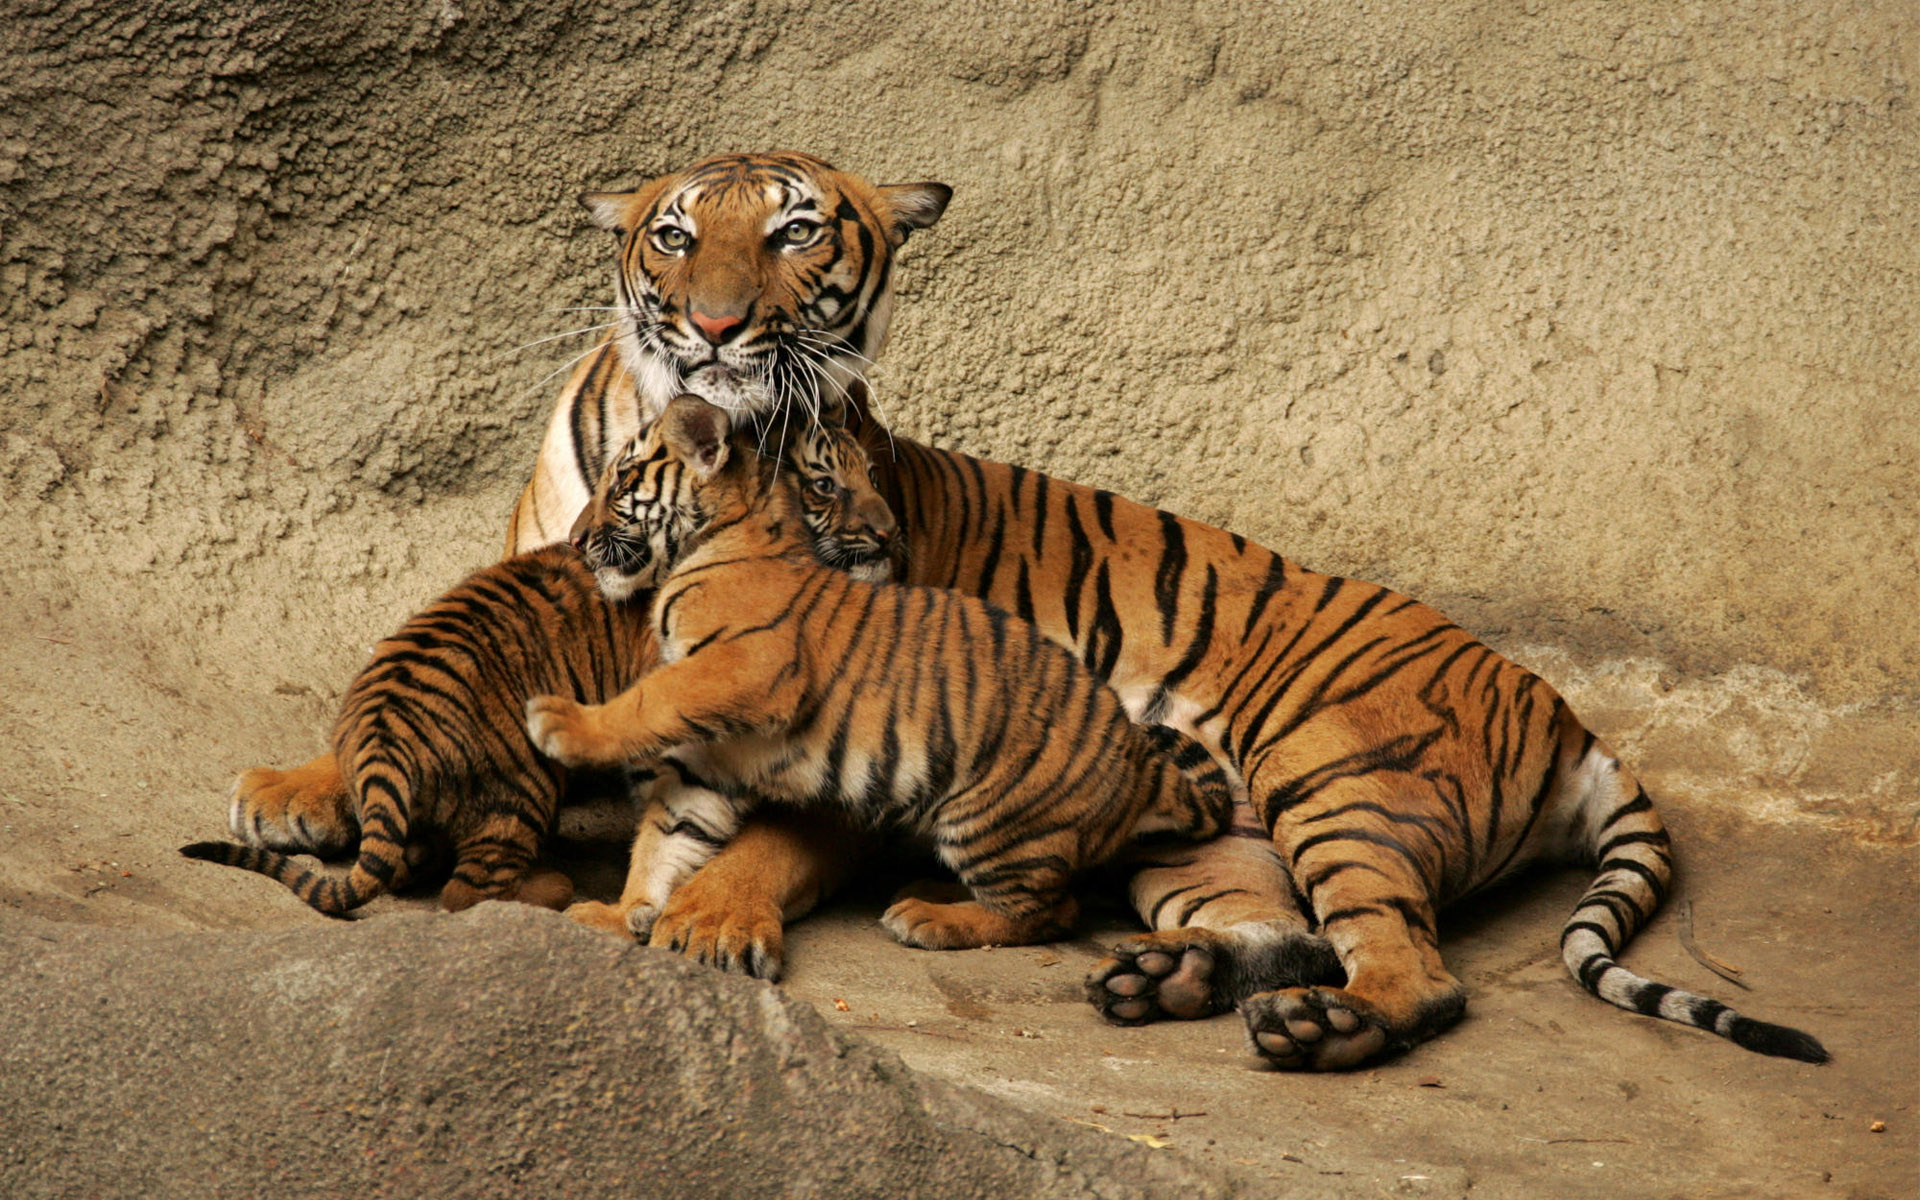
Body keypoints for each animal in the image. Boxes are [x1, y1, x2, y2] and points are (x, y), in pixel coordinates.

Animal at [232, 151, 1820, 1067]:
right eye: (676, 239)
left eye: (800, 235)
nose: (721, 328)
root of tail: (1572, 719)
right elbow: (407, 700)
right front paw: (294, 786)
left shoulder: (830, 726)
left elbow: (758, 828)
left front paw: (710, 922)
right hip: (1223, 844)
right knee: (1282, 928)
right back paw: (1165, 982)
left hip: (1340, 776)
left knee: (1414, 971)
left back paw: (1311, 1027)